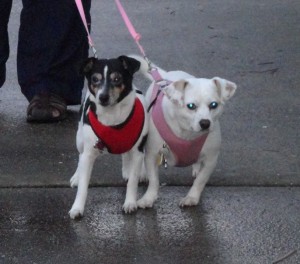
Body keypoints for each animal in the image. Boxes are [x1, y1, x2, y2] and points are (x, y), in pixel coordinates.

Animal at [68, 55, 148, 219]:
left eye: (117, 79)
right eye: (95, 79)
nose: (103, 97)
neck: (113, 118)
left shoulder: (137, 150)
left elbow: (133, 180)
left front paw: (130, 203)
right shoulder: (89, 153)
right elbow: (83, 186)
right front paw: (77, 207)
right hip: (80, 140)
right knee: (80, 156)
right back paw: (77, 176)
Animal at [131, 55, 237, 208]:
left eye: (214, 105)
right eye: (191, 106)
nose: (205, 123)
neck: (188, 133)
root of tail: (165, 76)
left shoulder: (211, 159)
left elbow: (200, 180)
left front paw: (192, 197)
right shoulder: (152, 155)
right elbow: (154, 180)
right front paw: (148, 198)